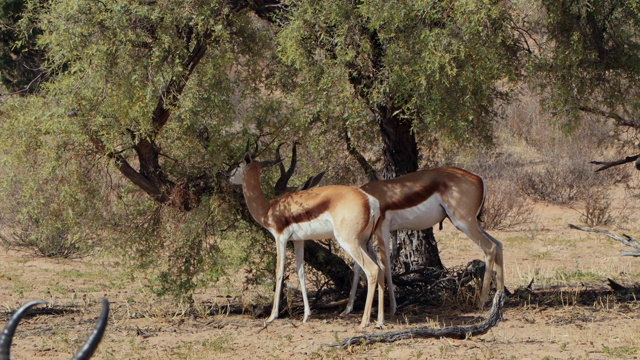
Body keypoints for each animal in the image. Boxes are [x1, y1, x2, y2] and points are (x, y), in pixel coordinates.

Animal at [228, 152, 382, 330]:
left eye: (238, 165)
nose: (226, 176)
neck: (269, 209)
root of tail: (368, 200)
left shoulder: (280, 238)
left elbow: (279, 272)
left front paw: (272, 316)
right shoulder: (298, 240)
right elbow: (300, 271)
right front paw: (306, 315)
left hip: (349, 242)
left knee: (372, 270)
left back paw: (364, 322)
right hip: (365, 242)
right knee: (382, 267)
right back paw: (380, 321)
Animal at [344, 166, 504, 316]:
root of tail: (478, 178)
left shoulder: (382, 229)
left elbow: (386, 266)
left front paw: (393, 308)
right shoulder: (364, 238)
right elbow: (358, 268)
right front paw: (347, 309)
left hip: (464, 223)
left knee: (490, 247)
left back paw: (481, 303)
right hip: (470, 224)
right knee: (498, 244)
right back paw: (500, 297)